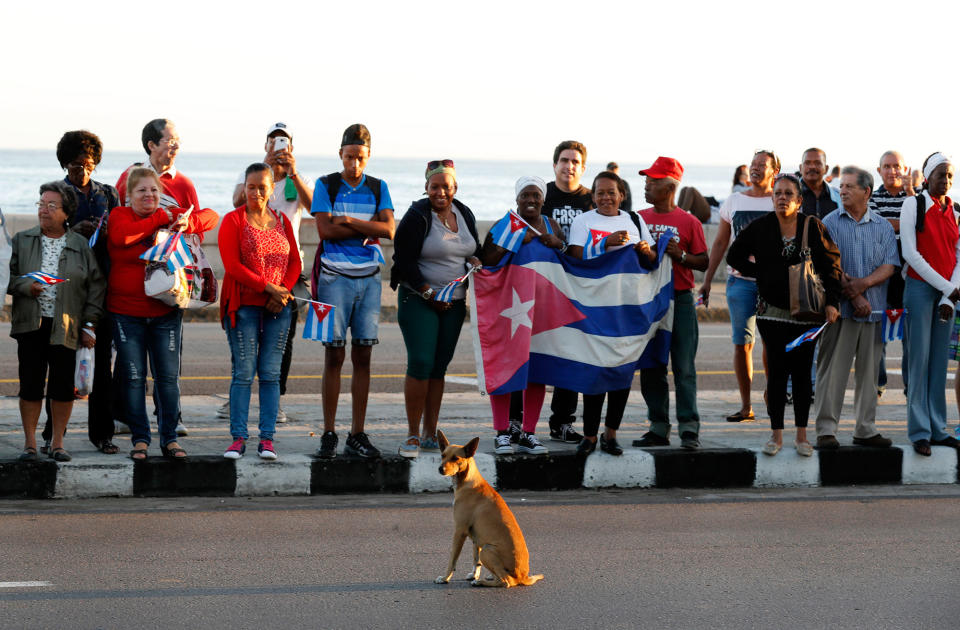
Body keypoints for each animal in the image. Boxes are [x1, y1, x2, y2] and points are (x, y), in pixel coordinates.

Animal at [434, 432, 544, 592]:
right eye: (443, 455)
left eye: (455, 458)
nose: (440, 469)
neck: (468, 480)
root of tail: (523, 577)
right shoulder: (475, 537)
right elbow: (475, 560)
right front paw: (474, 574)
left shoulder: (459, 531)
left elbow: (452, 559)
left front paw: (445, 578)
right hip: (485, 549)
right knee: (501, 576)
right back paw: (487, 577)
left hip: (487, 550)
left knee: (506, 581)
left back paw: (481, 582)